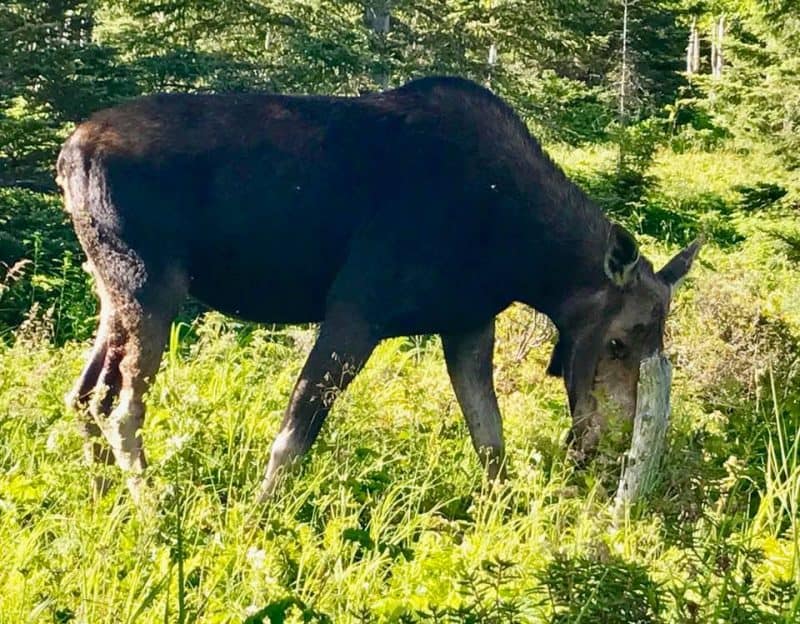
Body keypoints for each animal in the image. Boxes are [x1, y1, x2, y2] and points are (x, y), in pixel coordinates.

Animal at [57, 77, 700, 502]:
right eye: (618, 342)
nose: (614, 445)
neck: (520, 254)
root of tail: (66, 157)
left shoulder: (468, 324)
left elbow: (491, 442)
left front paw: (504, 519)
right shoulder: (357, 310)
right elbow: (293, 438)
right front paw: (259, 520)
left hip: (112, 295)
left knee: (83, 395)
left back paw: (100, 497)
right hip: (151, 289)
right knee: (120, 409)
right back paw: (150, 509)